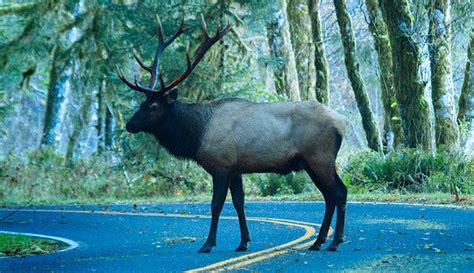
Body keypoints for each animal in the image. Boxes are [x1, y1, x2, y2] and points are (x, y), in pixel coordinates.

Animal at [117, 15, 348, 251]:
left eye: (153, 106)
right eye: (142, 104)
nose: (129, 125)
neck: (197, 135)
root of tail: (342, 122)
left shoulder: (221, 165)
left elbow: (216, 205)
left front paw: (208, 244)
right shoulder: (236, 169)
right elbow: (239, 202)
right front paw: (243, 242)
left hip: (320, 157)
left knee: (339, 192)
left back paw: (334, 241)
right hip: (311, 163)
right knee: (329, 196)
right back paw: (318, 242)